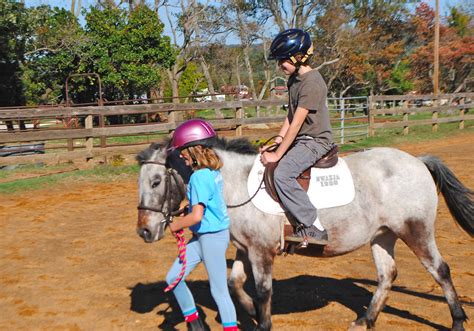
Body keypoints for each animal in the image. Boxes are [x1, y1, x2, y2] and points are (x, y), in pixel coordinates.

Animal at [135, 138, 472, 331]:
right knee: (387, 275)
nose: (144, 230)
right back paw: (365, 320)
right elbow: (235, 283)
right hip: (383, 235)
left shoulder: (261, 252)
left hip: (415, 230)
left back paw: (457, 321)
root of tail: (418, 161)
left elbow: (264, 291)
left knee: (440, 270)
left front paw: (263, 322)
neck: (234, 183)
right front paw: (251, 313)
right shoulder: (246, 248)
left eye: (156, 182)